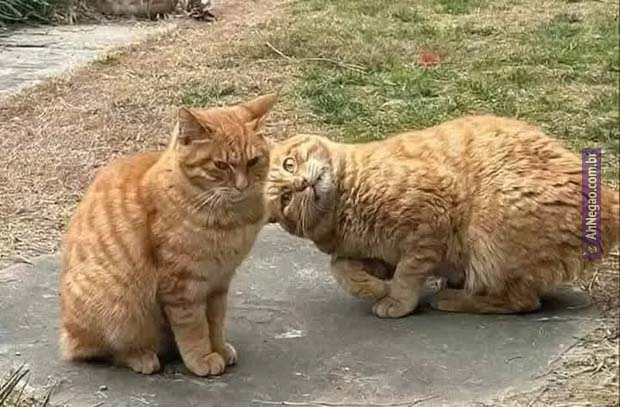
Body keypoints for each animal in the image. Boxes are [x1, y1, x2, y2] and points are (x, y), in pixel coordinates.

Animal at [60, 94, 277, 375]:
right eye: (220, 165)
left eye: (252, 161)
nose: (242, 186)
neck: (231, 218)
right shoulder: (183, 286)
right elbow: (194, 329)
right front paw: (202, 358)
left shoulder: (218, 283)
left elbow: (215, 324)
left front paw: (218, 348)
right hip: (118, 307)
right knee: (102, 351)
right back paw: (141, 357)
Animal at [266, 115, 620, 318]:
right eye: (285, 199)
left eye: (289, 164)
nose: (302, 183)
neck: (343, 210)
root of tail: (608, 197)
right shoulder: (376, 254)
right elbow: (340, 267)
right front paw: (371, 288)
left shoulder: (428, 222)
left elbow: (407, 274)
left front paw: (396, 301)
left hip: (491, 230)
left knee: (523, 301)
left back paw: (453, 298)